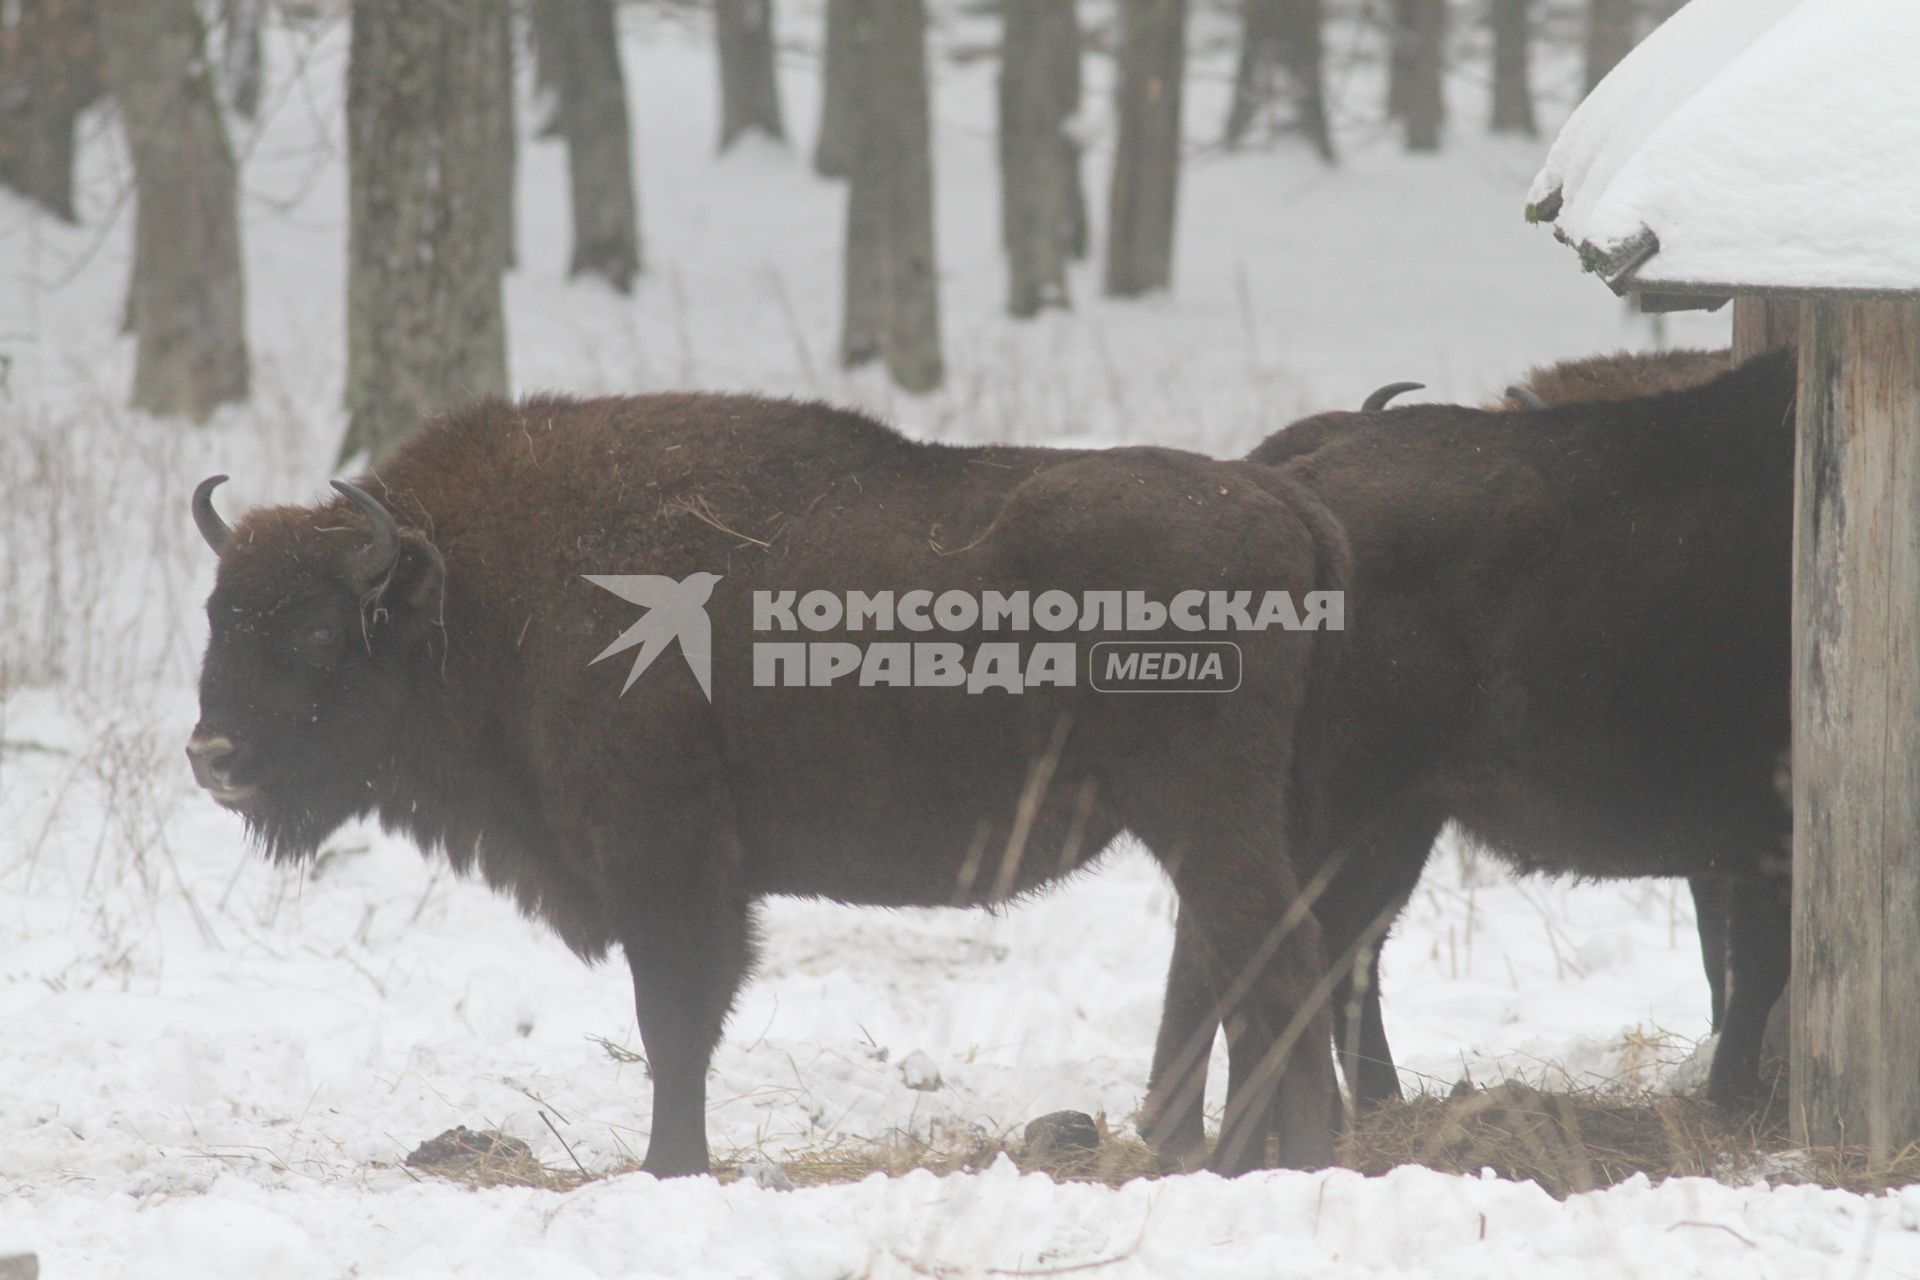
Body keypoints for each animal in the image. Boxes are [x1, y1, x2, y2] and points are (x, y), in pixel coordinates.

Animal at [187, 393, 1344, 1182]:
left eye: (320, 632)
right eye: (216, 615)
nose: (212, 755)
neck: (472, 595)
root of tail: (1286, 506)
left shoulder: (669, 865)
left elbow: (675, 1021)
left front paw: (669, 1167)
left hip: (1205, 814)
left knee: (1277, 965)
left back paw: (1285, 1159)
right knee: (1254, 968)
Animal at [1128, 351, 1789, 1174]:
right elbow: (1757, 963)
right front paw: (1735, 1095)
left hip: (1389, 819)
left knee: (1320, 945)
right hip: (1341, 808)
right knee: (1271, 943)